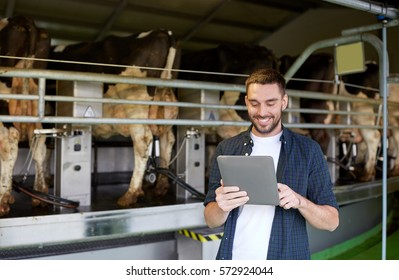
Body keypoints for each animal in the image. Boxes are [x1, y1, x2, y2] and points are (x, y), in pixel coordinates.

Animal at [48, 29, 181, 207]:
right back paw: (160, 187)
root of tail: (164, 32)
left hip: (135, 105)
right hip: (167, 109)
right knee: (168, 141)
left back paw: (130, 194)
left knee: (142, 142)